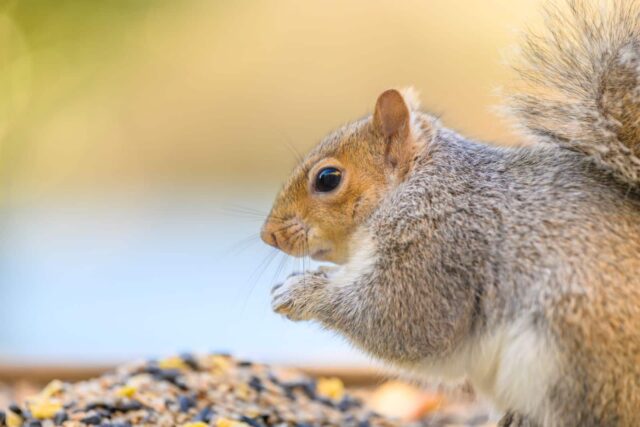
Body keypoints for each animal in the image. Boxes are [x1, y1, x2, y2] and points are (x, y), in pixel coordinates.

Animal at [260, 1, 640, 426]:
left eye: (327, 179)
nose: (268, 234)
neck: (417, 185)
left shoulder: (440, 243)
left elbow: (404, 321)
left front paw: (301, 291)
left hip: (570, 354)